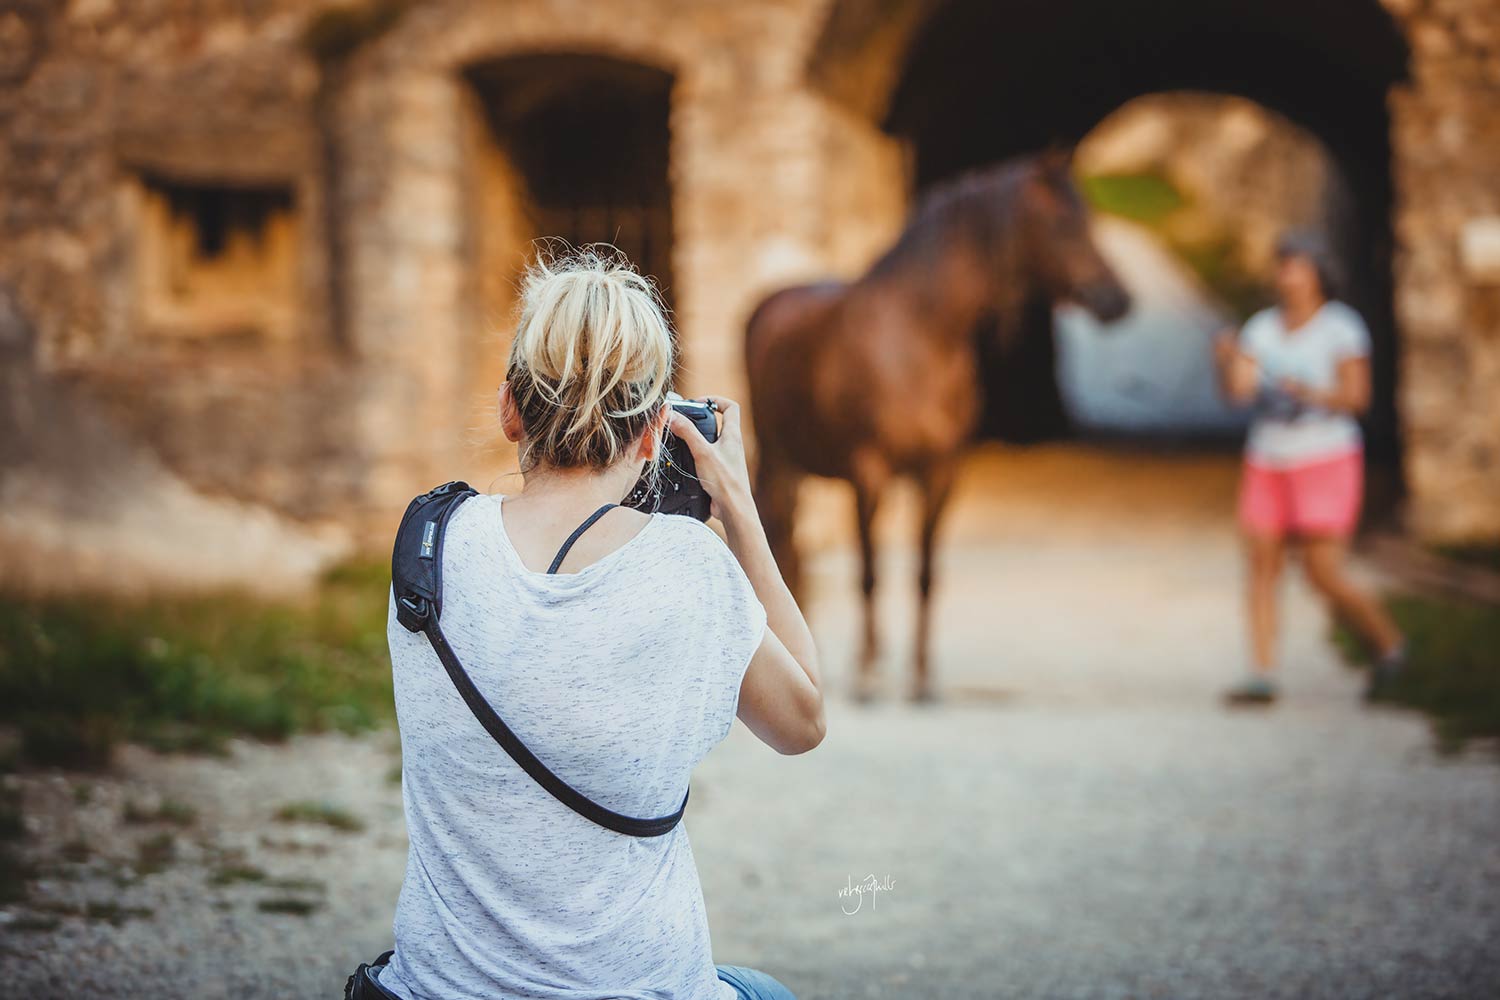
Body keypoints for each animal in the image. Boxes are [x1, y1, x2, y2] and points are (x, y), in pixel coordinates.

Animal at [744, 149, 1130, 702]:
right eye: (1061, 222)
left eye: (1089, 218)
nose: (1117, 300)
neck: (916, 341)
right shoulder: (869, 476)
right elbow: (870, 573)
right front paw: (866, 675)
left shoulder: (942, 474)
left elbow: (925, 574)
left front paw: (923, 679)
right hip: (775, 459)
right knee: (778, 538)